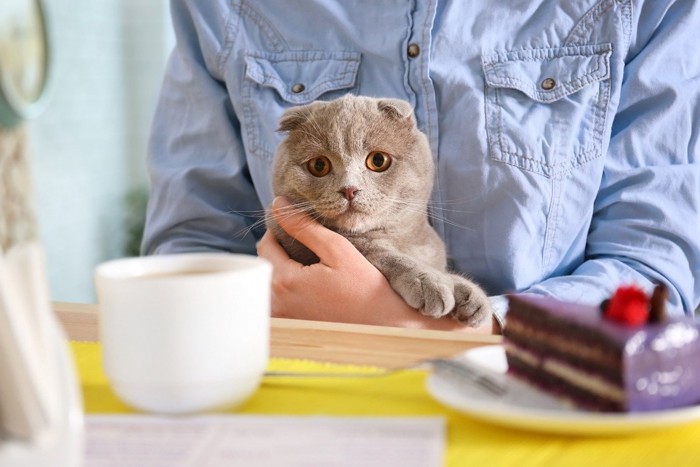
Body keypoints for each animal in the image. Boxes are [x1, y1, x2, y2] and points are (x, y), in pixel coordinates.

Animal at [266, 96, 490, 326]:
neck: (402, 239)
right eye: (319, 165)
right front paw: (429, 281)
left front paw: (469, 293)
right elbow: (377, 252)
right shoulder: (293, 241)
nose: (349, 189)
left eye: (378, 160)